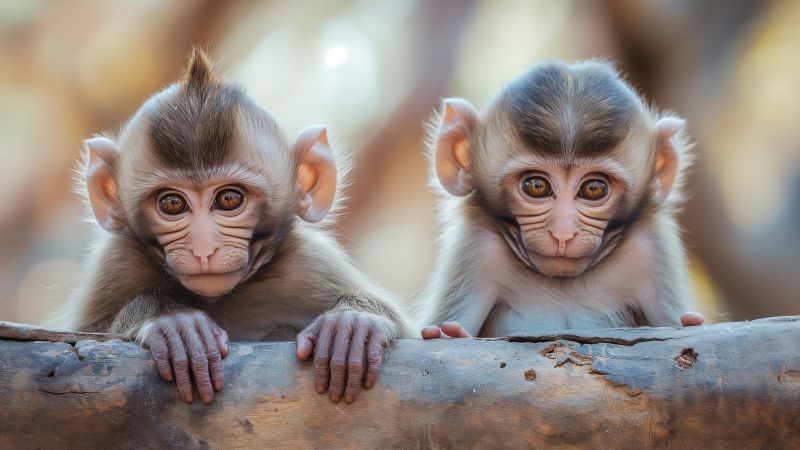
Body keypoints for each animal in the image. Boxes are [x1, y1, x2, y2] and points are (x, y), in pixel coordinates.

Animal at [57, 47, 413, 405]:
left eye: (229, 199)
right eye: (172, 204)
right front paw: (170, 321)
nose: (204, 249)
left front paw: (354, 323)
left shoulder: (312, 264)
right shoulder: (117, 264)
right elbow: (83, 337)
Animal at [418, 59, 705, 340]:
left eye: (593, 189)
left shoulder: (649, 250)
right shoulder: (479, 249)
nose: (562, 233)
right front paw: (451, 334)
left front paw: (691, 322)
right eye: (536, 186)